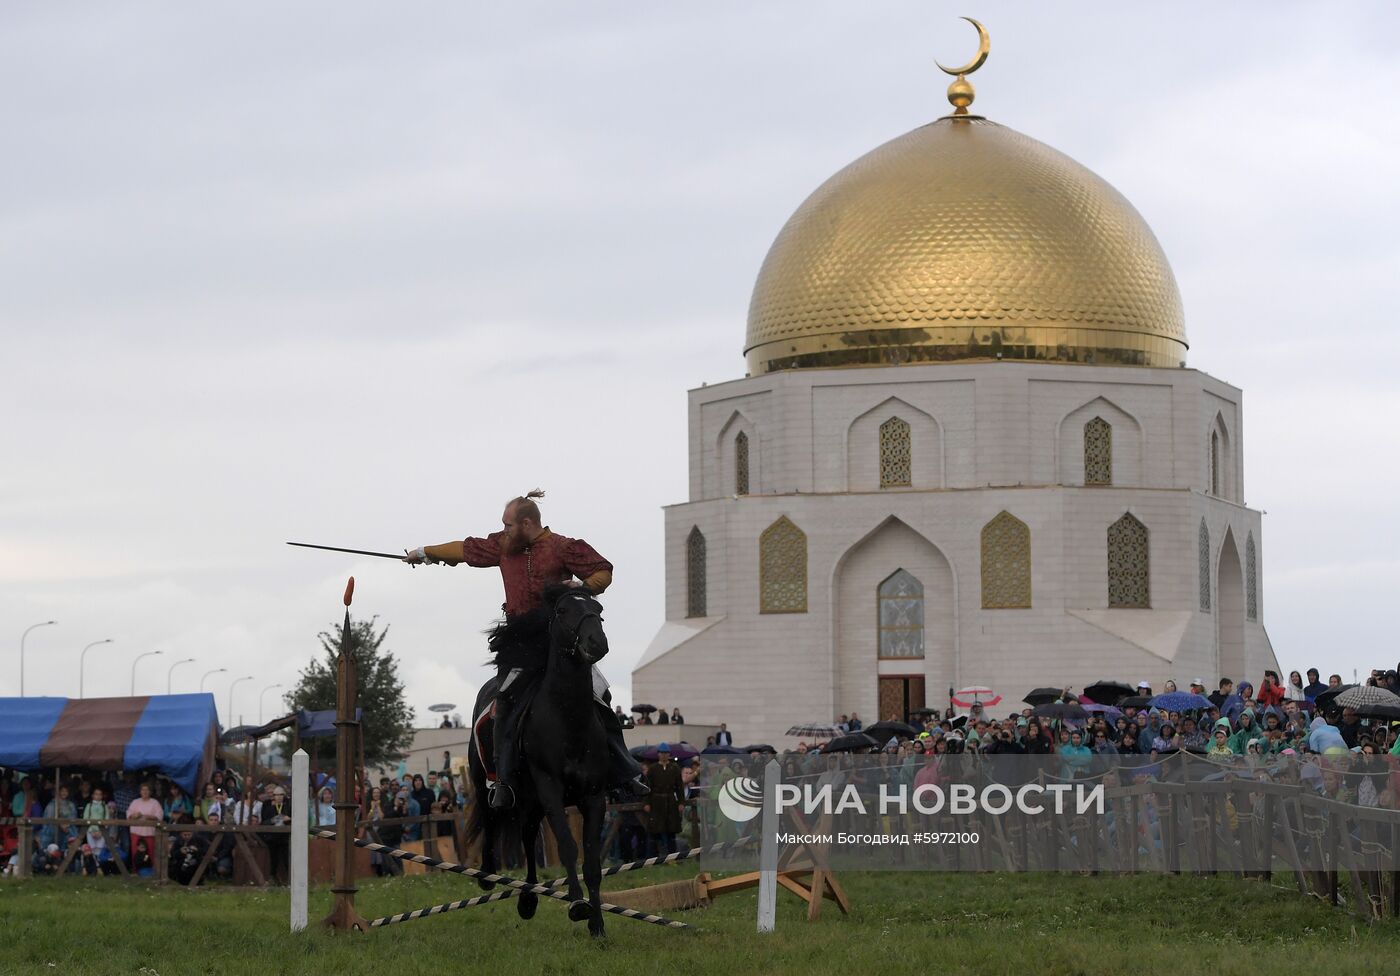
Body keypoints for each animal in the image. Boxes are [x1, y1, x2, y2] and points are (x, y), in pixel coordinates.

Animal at [467, 585, 610, 935]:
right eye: (562, 611)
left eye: (598, 610)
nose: (596, 642)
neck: (568, 719)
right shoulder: (550, 791)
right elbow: (567, 846)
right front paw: (577, 904)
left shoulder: (594, 797)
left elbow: (592, 861)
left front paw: (598, 925)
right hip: (487, 784)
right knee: (492, 820)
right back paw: (487, 875)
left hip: (531, 803)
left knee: (528, 839)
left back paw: (528, 900)